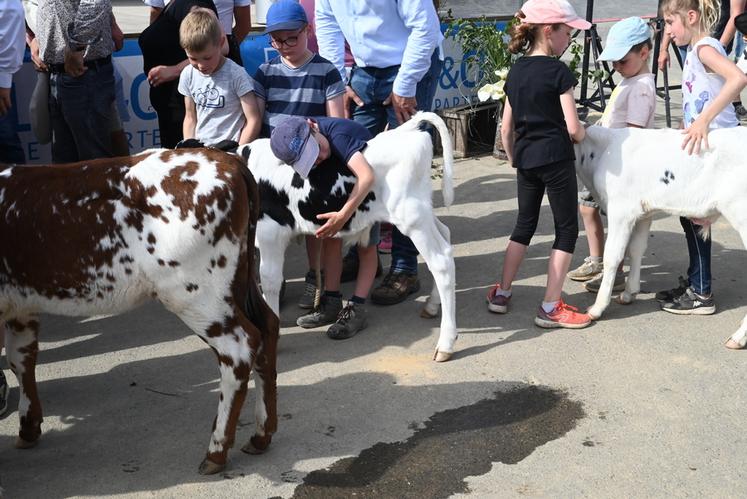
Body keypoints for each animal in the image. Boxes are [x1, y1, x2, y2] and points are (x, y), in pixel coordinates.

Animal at [0, 146, 280, 474]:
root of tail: (228, 160)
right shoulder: (21, 306)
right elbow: (21, 359)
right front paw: (28, 427)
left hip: (196, 294)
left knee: (239, 348)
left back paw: (217, 451)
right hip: (238, 281)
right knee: (268, 328)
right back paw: (261, 434)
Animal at [243, 112, 458, 364]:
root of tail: (409, 131)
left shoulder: (269, 232)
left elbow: (269, 281)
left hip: (411, 217)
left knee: (441, 262)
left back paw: (445, 343)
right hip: (422, 212)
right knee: (446, 236)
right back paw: (432, 306)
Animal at [580, 126, 747, 352]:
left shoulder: (621, 210)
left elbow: (613, 256)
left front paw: (597, 308)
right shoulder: (643, 213)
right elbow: (636, 249)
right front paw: (629, 293)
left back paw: (738, 337)